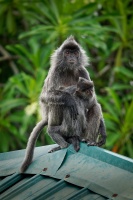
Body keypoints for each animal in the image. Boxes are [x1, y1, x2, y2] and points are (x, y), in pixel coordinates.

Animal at [20, 35, 90, 172]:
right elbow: (45, 97)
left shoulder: (83, 71)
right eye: (67, 53)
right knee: (57, 102)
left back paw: (73, 137)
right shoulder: (55, 71)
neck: (69, 70)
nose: (72, 57)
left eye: (75, 53)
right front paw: (69, 99)